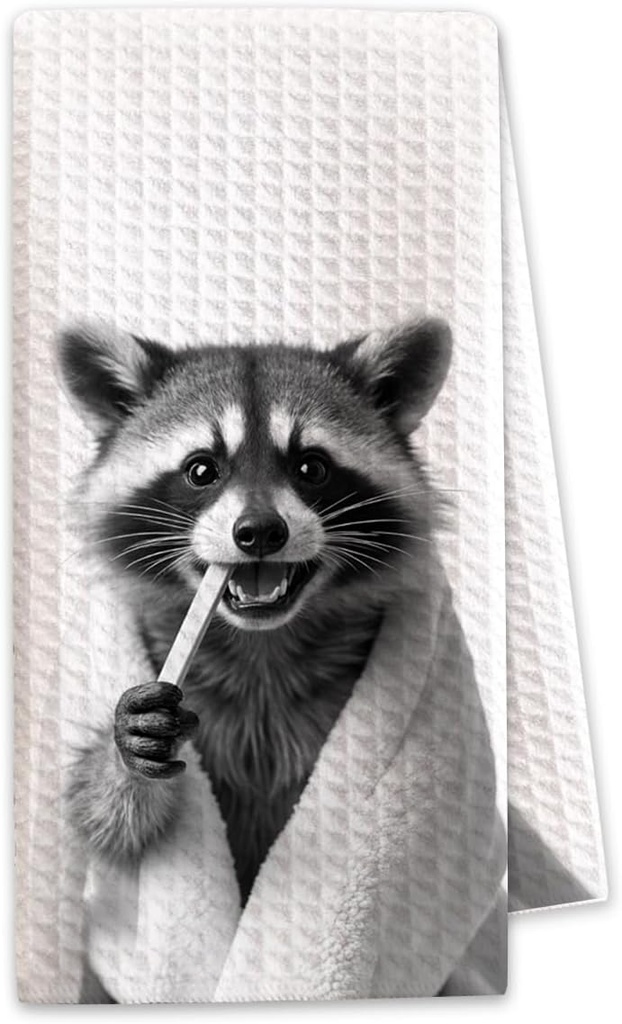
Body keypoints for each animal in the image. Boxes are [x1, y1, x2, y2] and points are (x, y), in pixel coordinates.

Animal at [59, 317, 452, 905]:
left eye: (312, 467)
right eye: (202, 470)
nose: (261, 531)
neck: (259, 641)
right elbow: (107, 828)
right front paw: (120, 764)